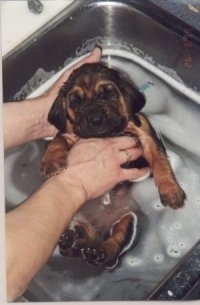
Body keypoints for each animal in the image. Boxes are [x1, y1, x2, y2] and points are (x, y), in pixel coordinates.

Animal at [40, 63, 186, 268]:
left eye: (108, 93)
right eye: (75, 101)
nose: (95, 119)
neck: (109, 134)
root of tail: (101, 228)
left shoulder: (146, 136)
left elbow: (161, 163)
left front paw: (171, 191)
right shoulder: (69, 134)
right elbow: (57, 141)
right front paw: (52, 161)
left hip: (130, 218)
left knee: (115, 246)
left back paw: (99, 251)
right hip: (74, 218)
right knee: (82, 239)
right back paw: (74, 242)